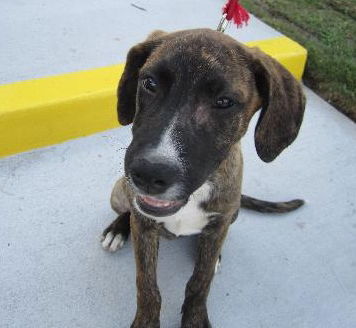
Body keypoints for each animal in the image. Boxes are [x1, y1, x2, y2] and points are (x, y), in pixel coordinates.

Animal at [101, 28, 306, 328]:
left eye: (224, 102)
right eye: (149, 83)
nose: (148, 173)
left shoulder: (220, 222)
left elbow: (200, 281)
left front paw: (195, 317)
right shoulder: (145, 225)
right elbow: (147, 285)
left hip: (232, 214)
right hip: (119, 191)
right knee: (128, 212)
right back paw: (117, 229)